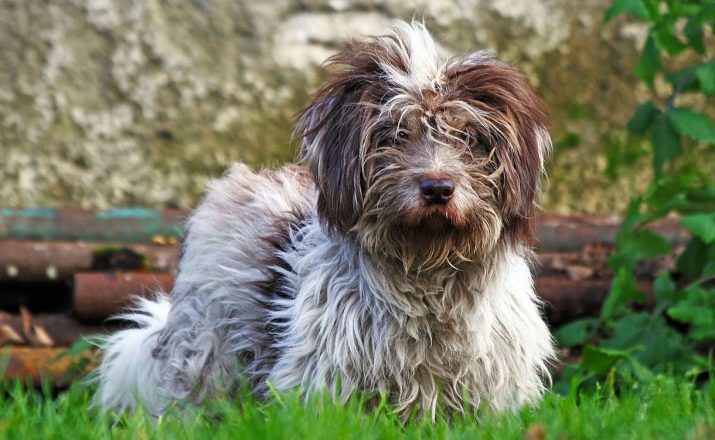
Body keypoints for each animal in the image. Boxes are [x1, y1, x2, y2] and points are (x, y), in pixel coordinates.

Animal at [96, 21, 555, 419]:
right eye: (396, 135)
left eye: (469, 138)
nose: (438, 188)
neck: (427, 277)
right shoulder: (324, 380)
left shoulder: (494, 392)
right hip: (204, 350)